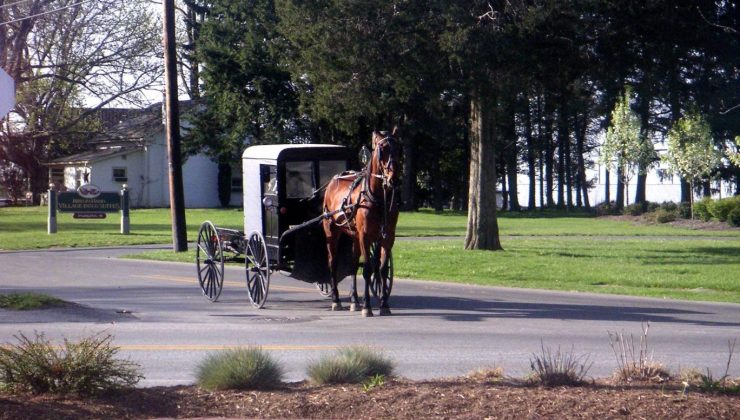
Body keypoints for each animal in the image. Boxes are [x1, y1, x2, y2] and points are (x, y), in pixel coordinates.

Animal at [322, 130, 402, 316]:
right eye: (382, 149)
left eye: (399, 149)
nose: (393, 179)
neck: (379, 200)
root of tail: (332, 181)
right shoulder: (365, 236)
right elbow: (367, 269)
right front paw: (367, 306)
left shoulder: (387, 237)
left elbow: (381, 269)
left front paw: (384, 304)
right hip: (331, 232)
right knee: (333, 263)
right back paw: (336, 300)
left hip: (354, 235)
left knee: (352, 264)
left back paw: (354, 301)